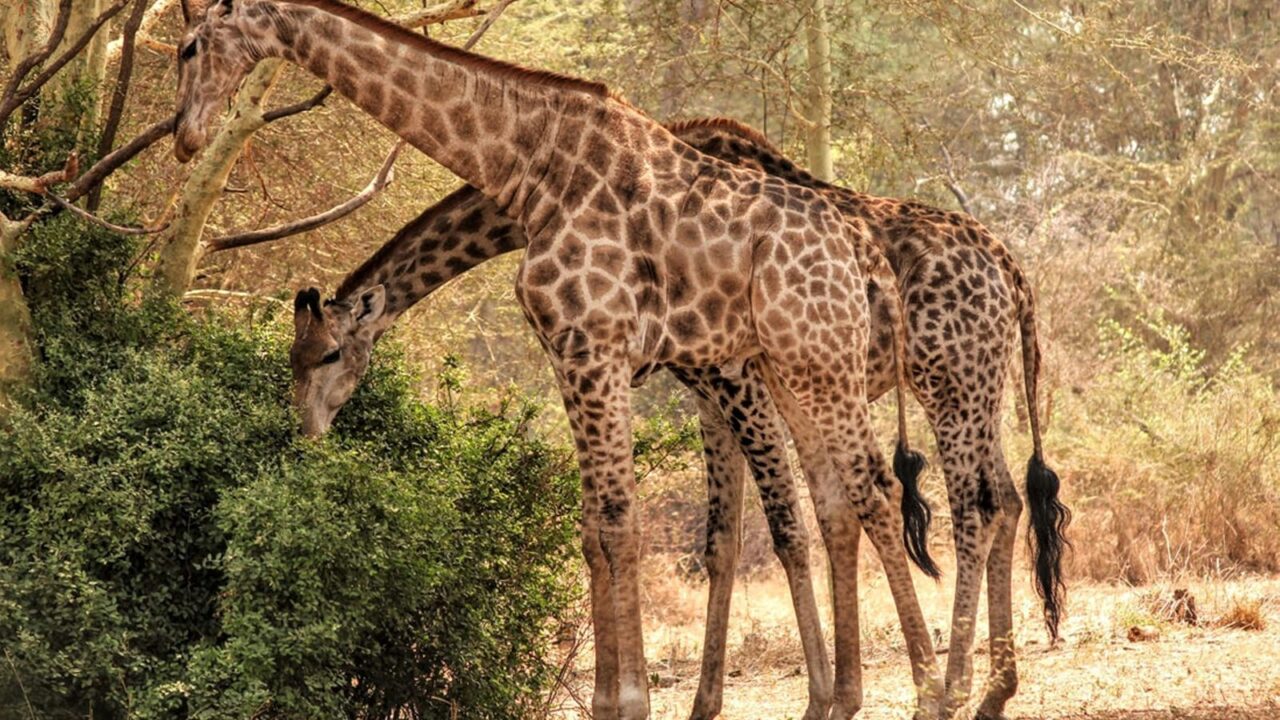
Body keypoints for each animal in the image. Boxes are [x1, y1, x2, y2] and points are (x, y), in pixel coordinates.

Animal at [172, 1, 946, 718]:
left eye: (188, 47)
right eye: (292, 359)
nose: (185, 136)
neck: (529, 171)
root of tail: (864, 256)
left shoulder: (604, 350)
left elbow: (621, 523)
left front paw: (631, 700)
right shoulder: (572, 356)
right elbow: (595, 529)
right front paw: (609, 700)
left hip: (828, 367)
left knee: (880, 492)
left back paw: (932, 693)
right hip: (798, 369)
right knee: (843, 501)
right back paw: (864, 693)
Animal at [287, 117, 1069, 720]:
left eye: (326, 354)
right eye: (293, 357)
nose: (307, 432)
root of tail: (1015, 273)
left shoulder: (732, 378)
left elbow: (785, 527)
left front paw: (818, 697)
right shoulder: (705, 390)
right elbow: (720, 539)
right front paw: (703, 703)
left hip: (948, 381)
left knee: (972, 508)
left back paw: (957, 687)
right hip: (979, 385)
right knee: (1003, 499)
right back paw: (993, 690)